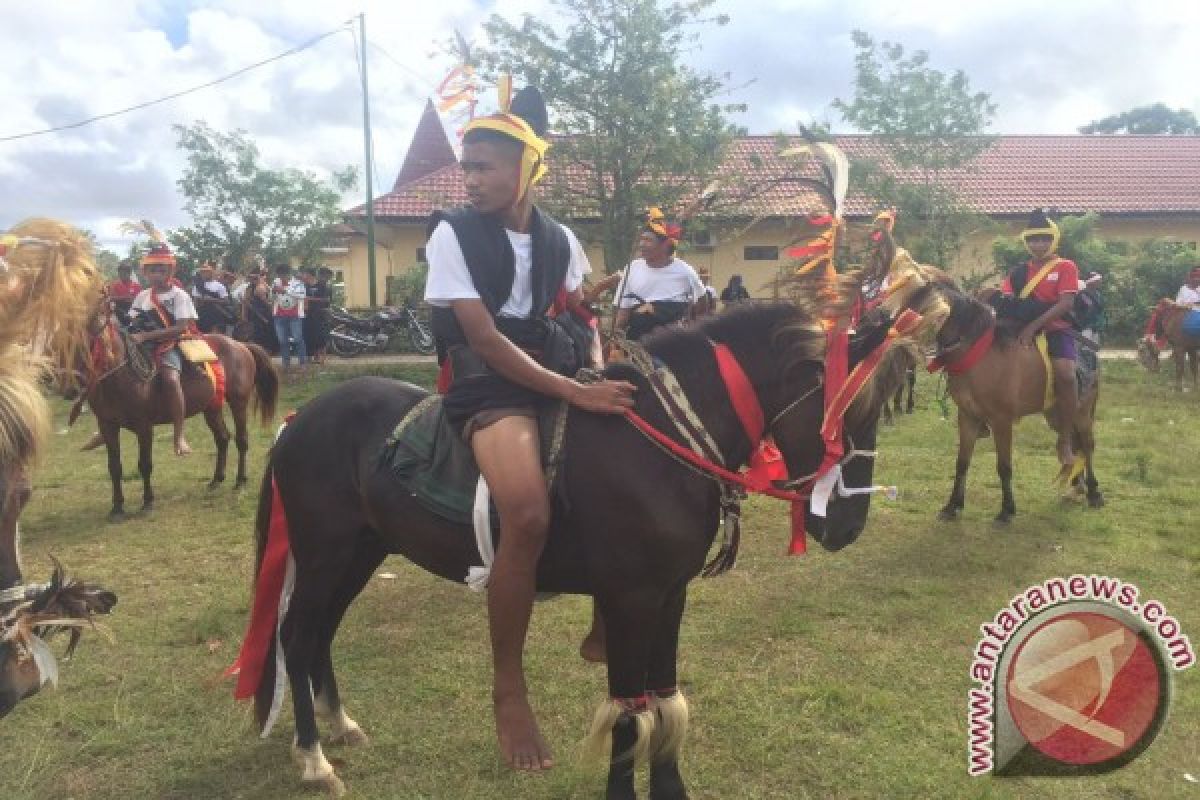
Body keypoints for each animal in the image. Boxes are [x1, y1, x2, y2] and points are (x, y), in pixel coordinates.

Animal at [87, 319, 278, 520]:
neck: (121, 377)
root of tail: (241, 345)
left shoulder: (144, 426)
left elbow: (145, 465)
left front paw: (148, 502)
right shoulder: (107, 425)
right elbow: (114, 467)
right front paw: (117, 507)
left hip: (238, 402)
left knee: (241, 440)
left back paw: (240, 480)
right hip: (211, 407)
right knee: (222, 438)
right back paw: (216, 479)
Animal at [231, 296, 926, 800]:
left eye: (880, 411)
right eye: (841, 414)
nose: (846, 526)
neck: (657, 441)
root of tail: (302, 419)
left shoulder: (669, 597)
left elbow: (664, 702)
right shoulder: (629, 599)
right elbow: (627, 713)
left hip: (361, 553)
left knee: (320, 636)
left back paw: (339, 727)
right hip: (325, 554)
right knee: (298, 636)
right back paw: (313, 758)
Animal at [926, 284, 1104, 522]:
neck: (979, 354)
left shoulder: (1001, 421)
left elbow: (1004, 466)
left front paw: (1007, 509)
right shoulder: (967, 417)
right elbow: (962, 462)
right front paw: (952, 505)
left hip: (1081, 413)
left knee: (1087, 444)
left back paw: (1093, 492)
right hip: (1056, 415)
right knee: (1074, 442)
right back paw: (1077, 485)